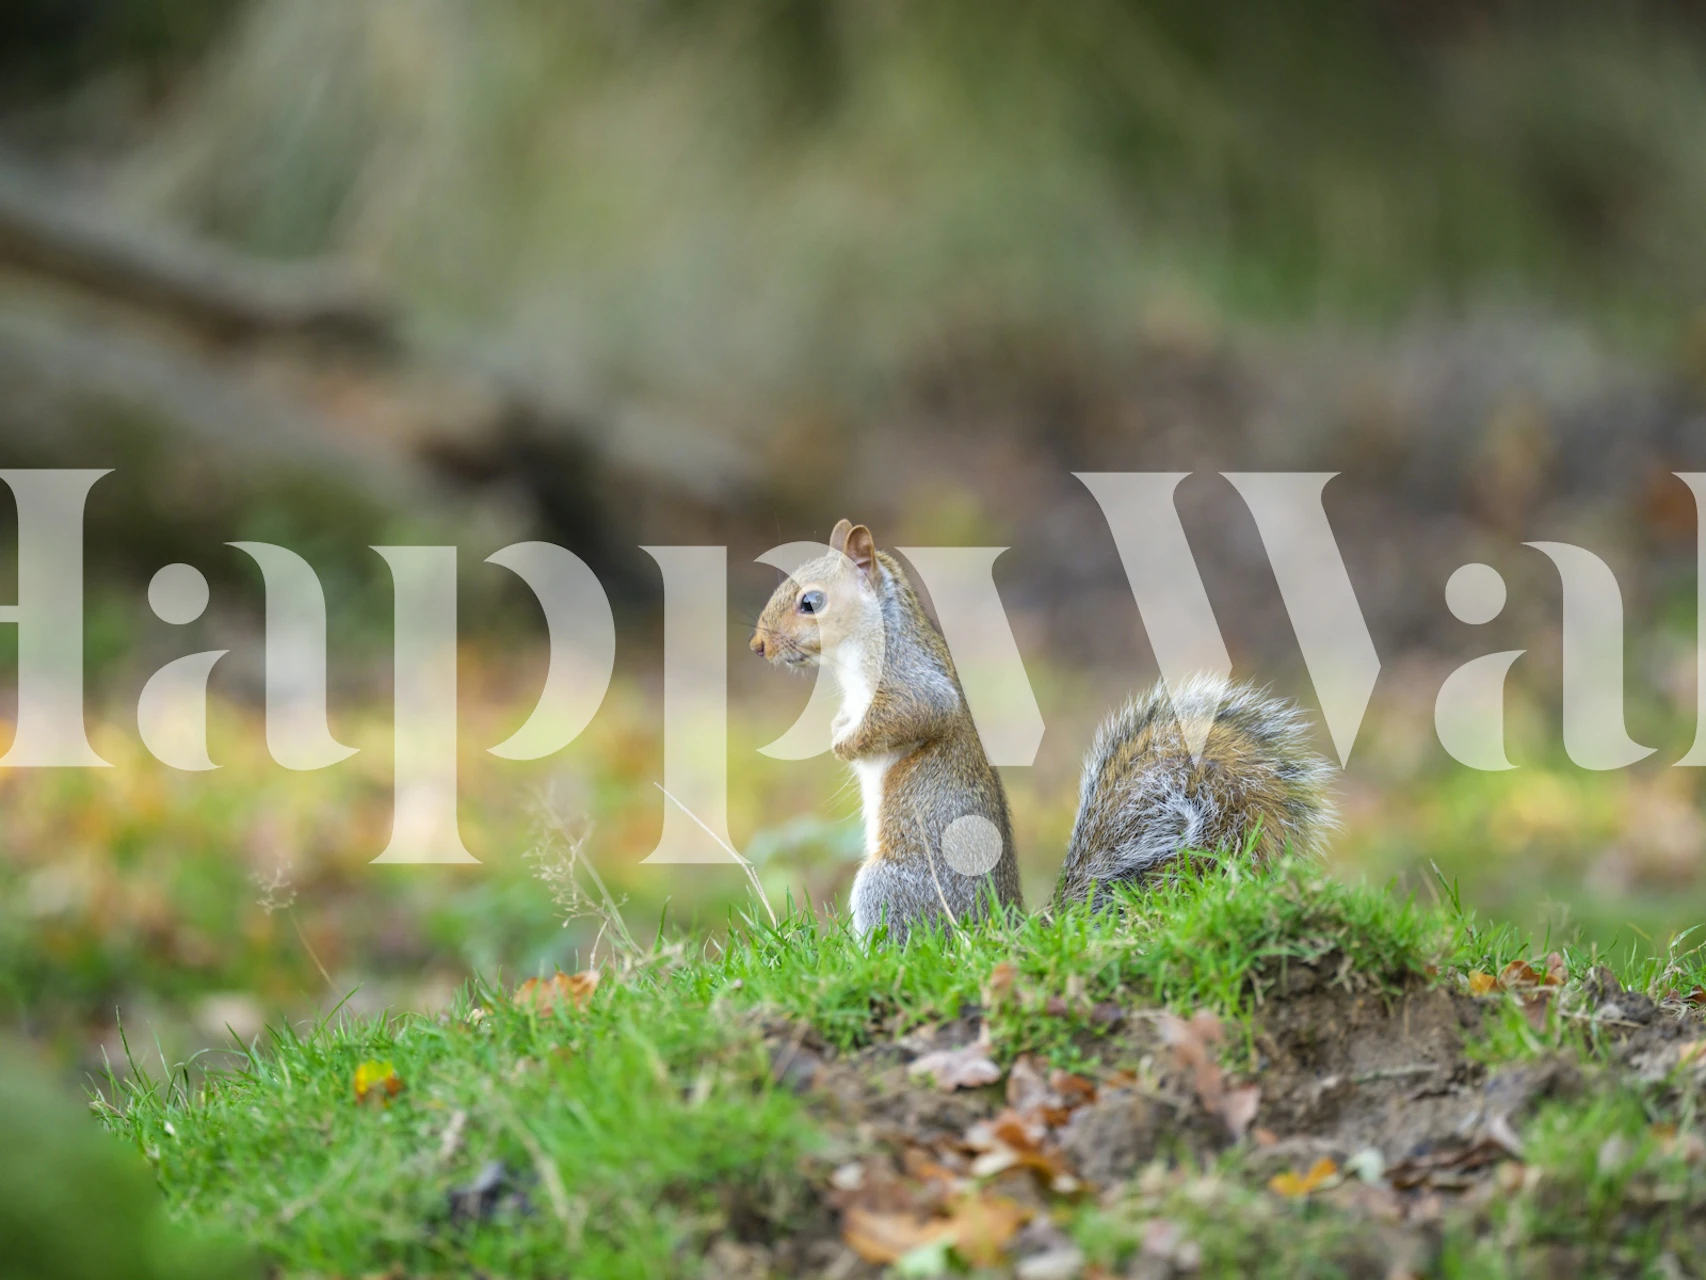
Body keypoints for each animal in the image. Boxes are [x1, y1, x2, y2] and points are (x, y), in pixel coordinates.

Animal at [749, 519, 1336, 943]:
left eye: (811, 602)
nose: (757, 647)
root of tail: (1003, 929)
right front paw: (839, 729)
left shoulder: (911, 681)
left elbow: (915, 714)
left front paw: (845, 744)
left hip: (890, 885)